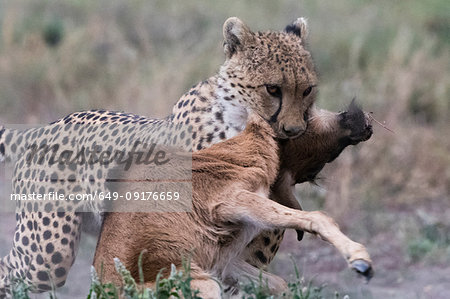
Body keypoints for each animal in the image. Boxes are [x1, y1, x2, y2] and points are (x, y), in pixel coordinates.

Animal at [0, 17, 342, 298]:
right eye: (272, 89)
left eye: (308, 90)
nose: (294, 130)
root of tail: (47, 125)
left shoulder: (231, 257)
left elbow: (271, 282)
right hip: (47, 256)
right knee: (12, 270)